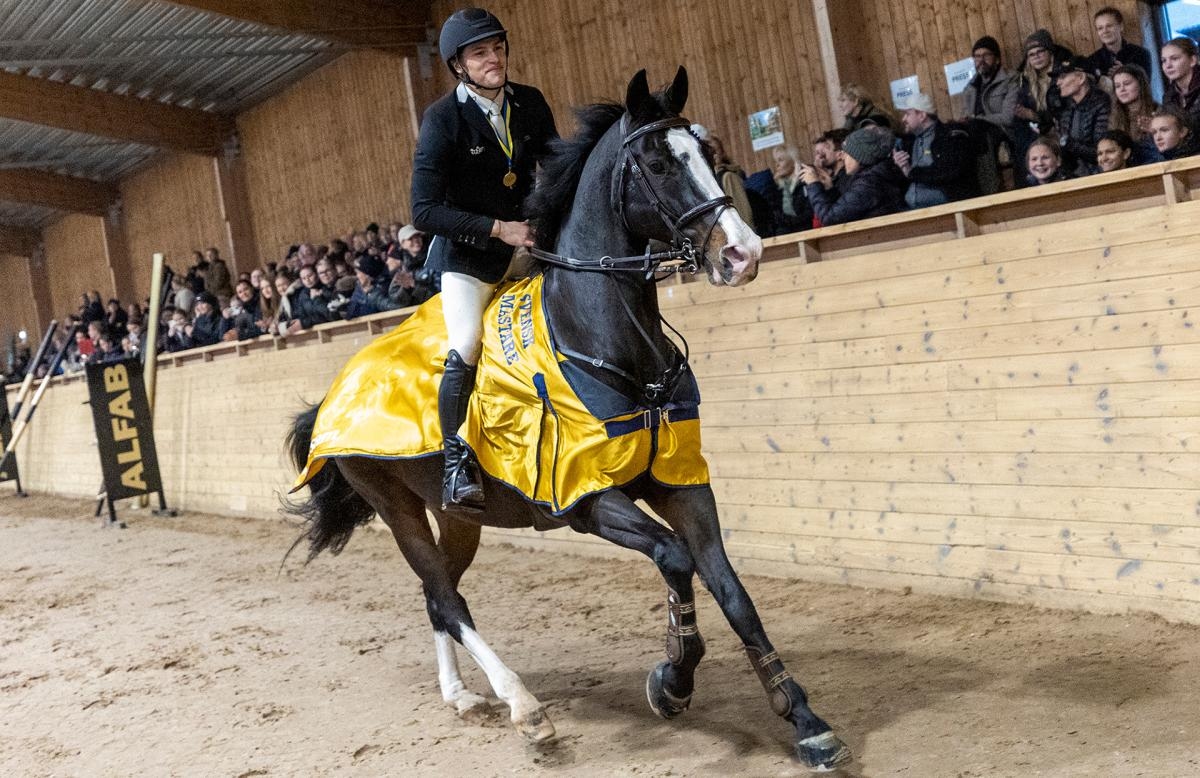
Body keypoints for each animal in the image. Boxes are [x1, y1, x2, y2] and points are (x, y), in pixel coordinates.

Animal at [288, 68, 854, 773]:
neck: (609, 341)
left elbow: (733, 591)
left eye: (710, 151)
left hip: (457, 514)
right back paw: (525, 709)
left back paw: (460, 696)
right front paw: (672, 680)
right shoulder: (588, 497)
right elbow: (675, 560)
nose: (742, 255)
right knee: (446, 597)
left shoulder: (682, 482)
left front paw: (805, 721)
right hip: (394, 505)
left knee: (437, 594)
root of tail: (335, 392)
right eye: (659, 164)